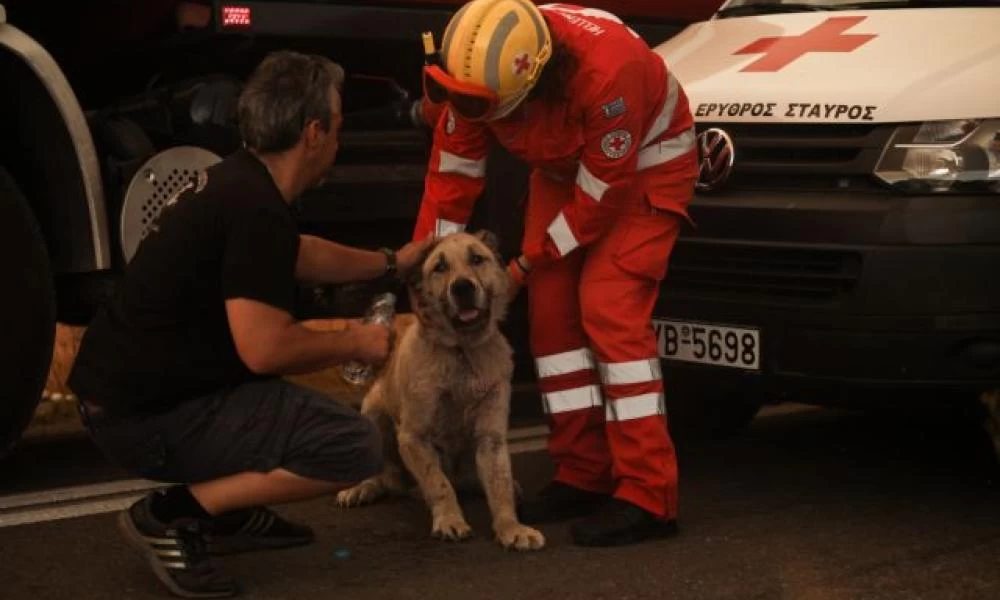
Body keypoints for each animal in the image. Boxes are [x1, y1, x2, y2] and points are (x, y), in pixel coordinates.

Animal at [336, 232, 544, 552]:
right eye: (439, 267)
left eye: (477, 259)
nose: (462, 287)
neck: (462, 352)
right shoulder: (413, 438)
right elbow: (439, 483)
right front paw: (449, 520)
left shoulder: (491, 439)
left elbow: (500, 487)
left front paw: (510, 527)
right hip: (372, 413)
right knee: (386, 476)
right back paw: (364, 488)